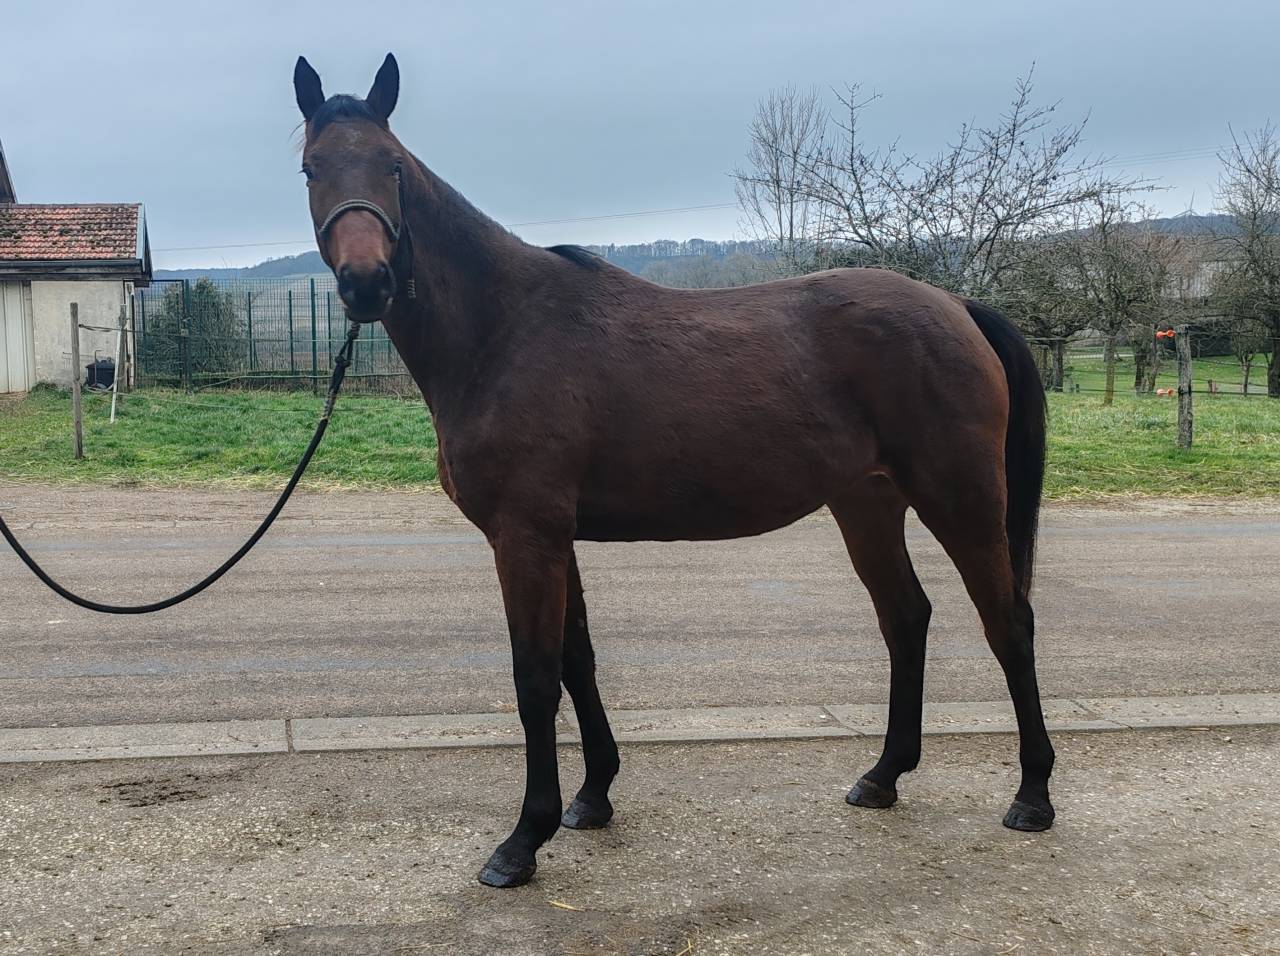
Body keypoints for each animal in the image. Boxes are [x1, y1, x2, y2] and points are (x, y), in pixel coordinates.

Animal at [293, 53, 1055, 889]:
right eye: (310, 169)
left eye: (392, 165)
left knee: (1008, 622)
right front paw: (592, 796)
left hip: (962, 500)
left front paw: (523, 839)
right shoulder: (555, 537)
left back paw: (1033, 795)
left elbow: (535, 678)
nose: (366, 282)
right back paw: (883, 776)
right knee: (906, 618)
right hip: (868, 504)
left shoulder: (525, 536)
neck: (505, 330)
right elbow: (578, 660)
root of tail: (954, 305)